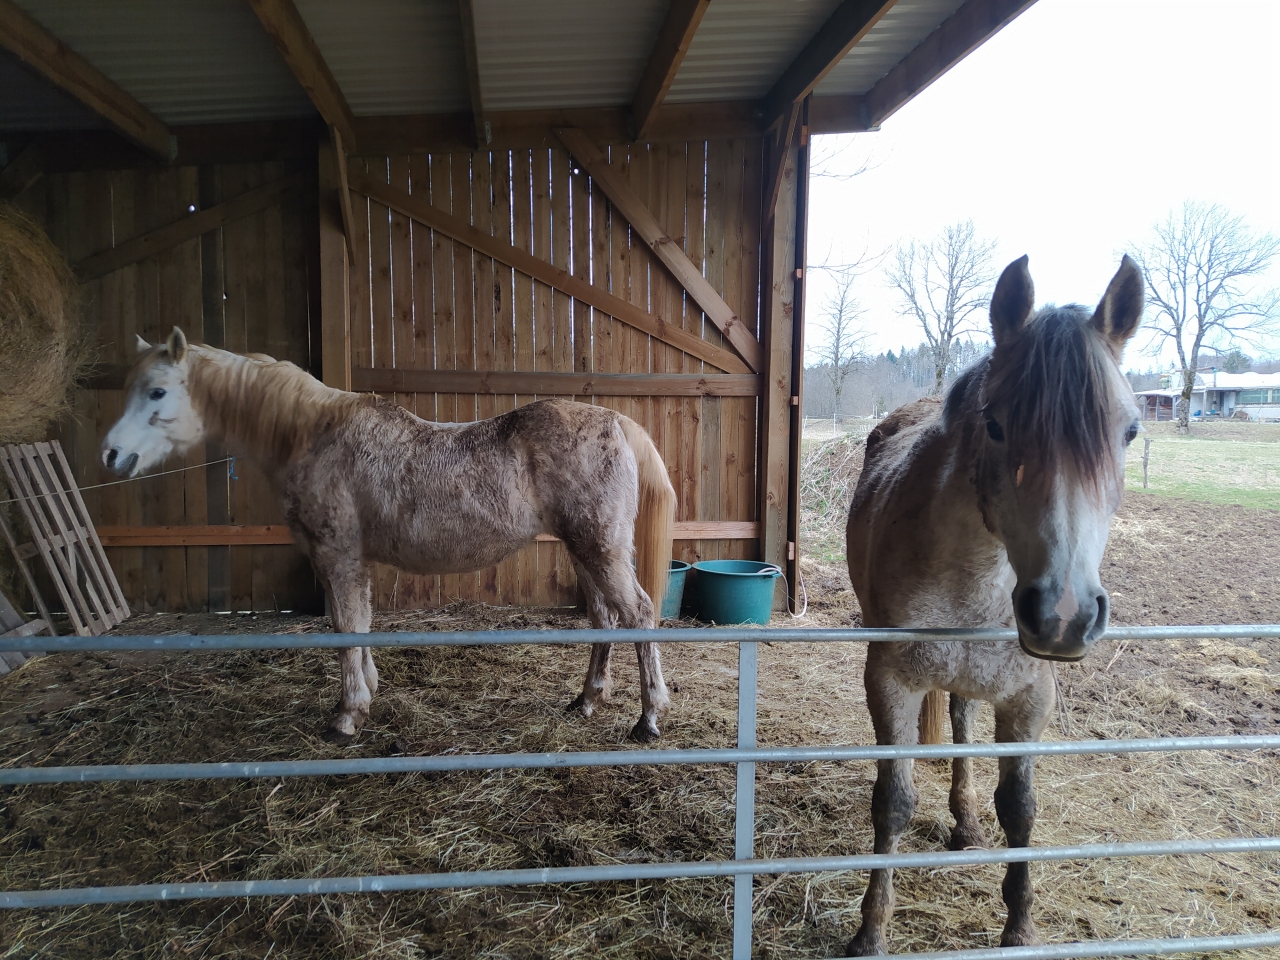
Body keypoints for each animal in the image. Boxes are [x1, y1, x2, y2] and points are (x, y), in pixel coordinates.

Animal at [102, 329, 677, 743]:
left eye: (157, 391)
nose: (111, 454)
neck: (315, 435)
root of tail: (618, 421)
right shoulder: (346, 561)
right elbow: (356, 623)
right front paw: (365, 693)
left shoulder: (337, 556)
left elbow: (345, 628)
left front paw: (346, 716)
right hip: (585, 550)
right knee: (604, 617)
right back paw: (586, 700)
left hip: (601, 549)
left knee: (639, 613)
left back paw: (648, 719)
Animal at [843, 255, 1144, 954]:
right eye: (997, 424)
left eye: (1129, 431)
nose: (1063, 615)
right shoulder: (889, 682)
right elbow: (891, 802)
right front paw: (871, 930)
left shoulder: (1029, 697)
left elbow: (1021, 809)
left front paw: (1019, 925)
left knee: (960, 723)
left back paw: (967, 820)